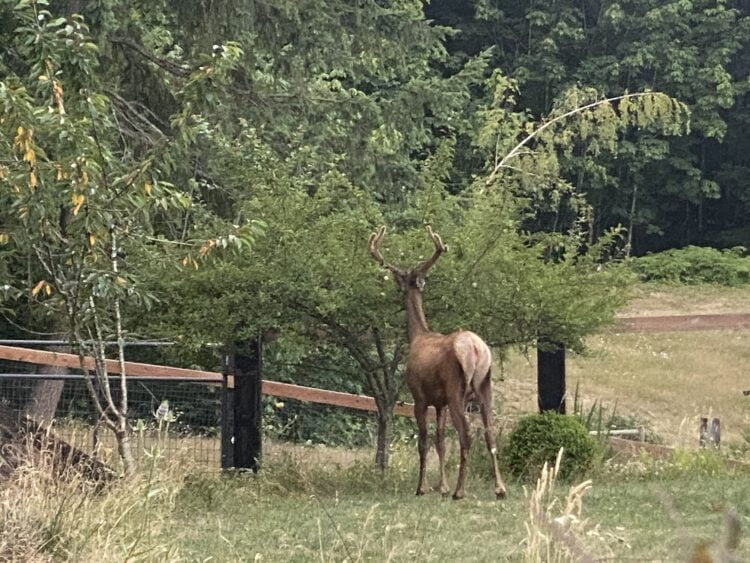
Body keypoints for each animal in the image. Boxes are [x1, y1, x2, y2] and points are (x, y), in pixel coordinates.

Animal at [368, 225, 507, 500]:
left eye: (403, 280)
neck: (418, 336)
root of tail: (476, 349)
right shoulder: (439, 403)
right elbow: (440, 441)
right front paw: (441, 486)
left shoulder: (420, 397)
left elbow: (423, 442)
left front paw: (422, 487)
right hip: (485, 384)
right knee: (490, 434)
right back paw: (499, 488)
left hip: (457, 389)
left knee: (466, 436)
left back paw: (459, 491)